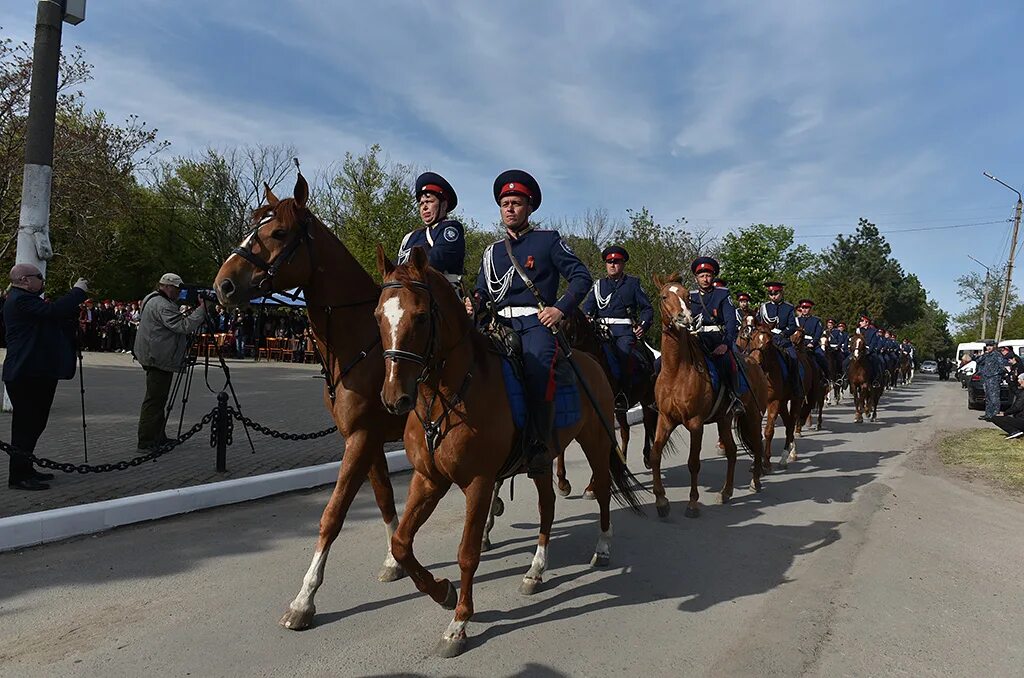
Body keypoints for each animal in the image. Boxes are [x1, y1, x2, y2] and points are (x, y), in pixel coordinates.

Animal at [211, 174, 407, 630]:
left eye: (279, 232)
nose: (222, 285)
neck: (365, 341)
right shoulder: (366, 439)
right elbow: (385, 497)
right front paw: (394, 559)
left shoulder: (362, 439)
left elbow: (332, 515)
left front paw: (304, 599)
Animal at [374, 245, 638, 659]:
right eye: (378, 316)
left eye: (420, 316)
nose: (394, 398)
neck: (448, 395)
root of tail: (590, 360)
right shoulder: (429, 478)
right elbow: (401, 543)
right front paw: (443, 592)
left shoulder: (479, 483)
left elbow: (468, 552)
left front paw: (459, 623)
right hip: (543, 462)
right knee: (548, 507)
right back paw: (535, 570)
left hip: (595, 444)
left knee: (603, 491)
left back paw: (603, 547)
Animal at [647, 276, 770, 520]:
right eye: (665, 296)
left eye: (687, 296)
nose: (684, 318)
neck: (677, 370)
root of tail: (754, 362)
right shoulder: (665, 419)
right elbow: (656, 455)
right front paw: (661, 501)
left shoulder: (695, 424)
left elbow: (693, 463)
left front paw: (693, 503)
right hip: (724, 419)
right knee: (732, 452)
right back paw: (726, 492)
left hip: (752, 416)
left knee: (758, 445)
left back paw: (755, 482)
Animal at [737, 317, 798, 473]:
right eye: (752, 337)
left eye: (770, 341)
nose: (755, 361)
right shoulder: (757, 404)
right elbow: (756, 432)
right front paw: (756, 463)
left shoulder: (774, 402)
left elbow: (769, 431)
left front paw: (766, 462)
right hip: (783, 403)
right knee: (788, 423)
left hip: (795, 400)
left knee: (792, 423)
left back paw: (788, 455)